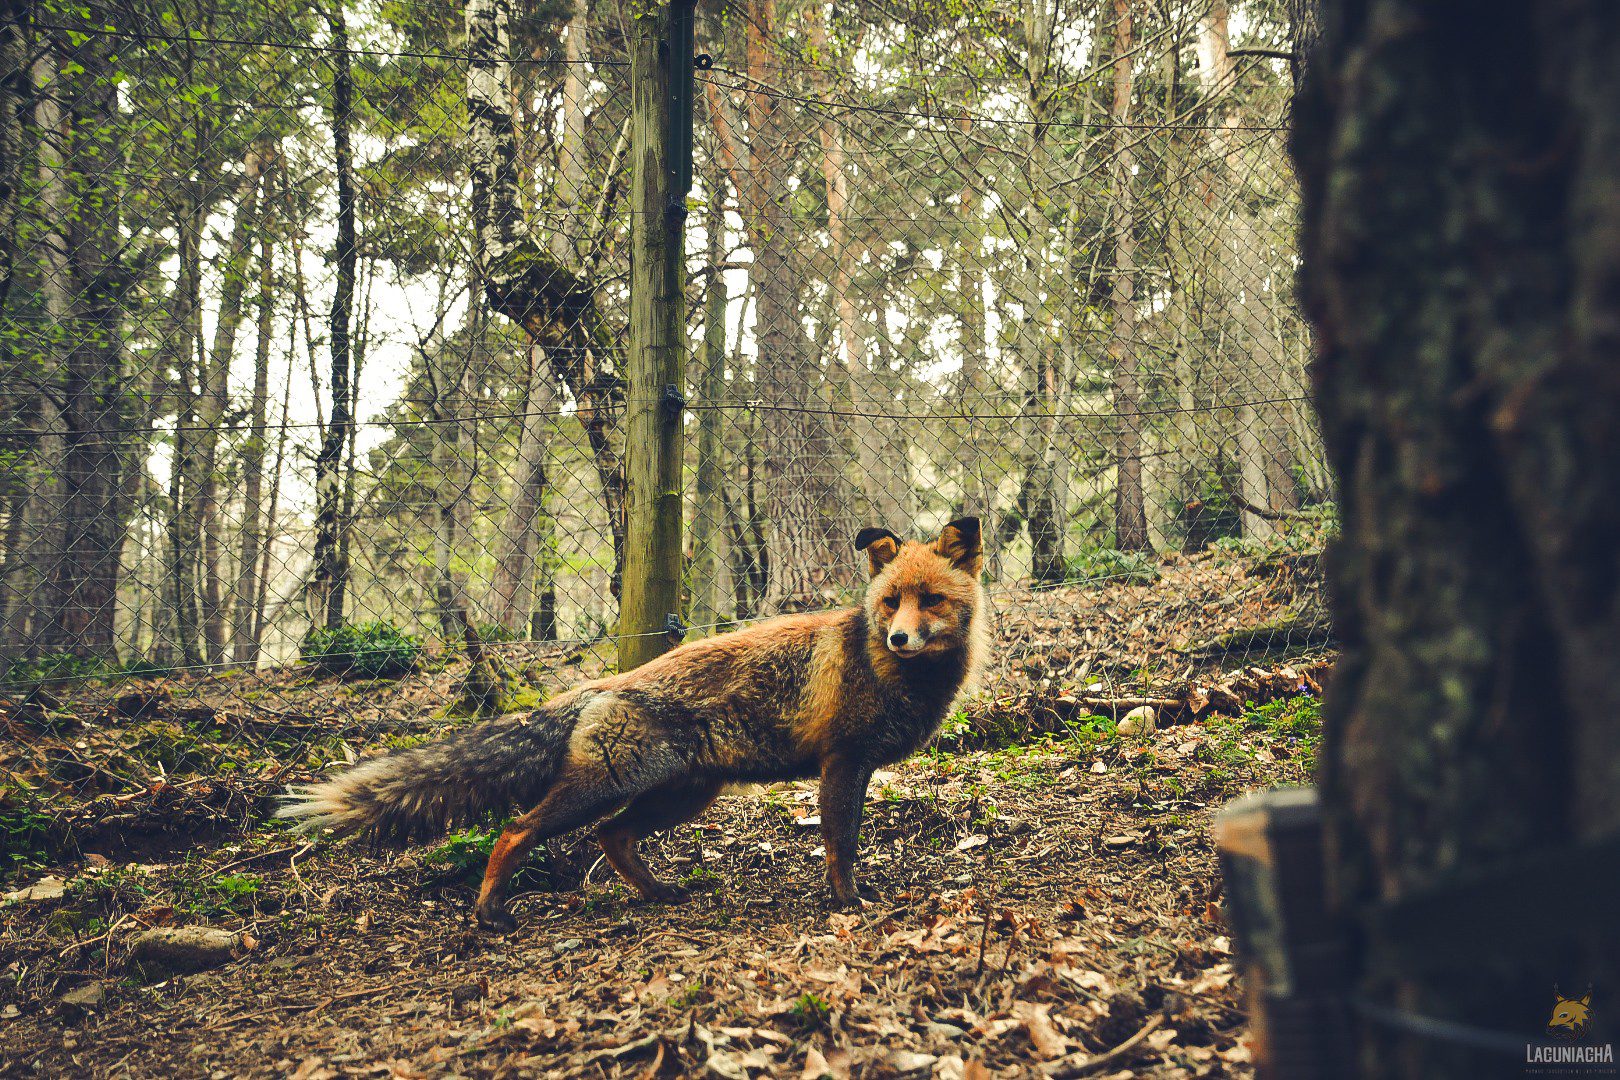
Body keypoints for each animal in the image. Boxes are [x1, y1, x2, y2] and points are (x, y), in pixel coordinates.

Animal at [278, 517, 989, 930]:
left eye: (930, 600)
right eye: (890, 601)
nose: (898, 638)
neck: (883, 668)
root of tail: (601, 685)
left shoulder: (852, 764)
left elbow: (845, 840)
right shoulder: (842, 762)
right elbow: (841, 841)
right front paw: (847, 903)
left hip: (679, 795)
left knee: (612, 838)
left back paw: (657, 895)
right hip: (607, 790)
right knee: (516, 830)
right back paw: (488, 913)